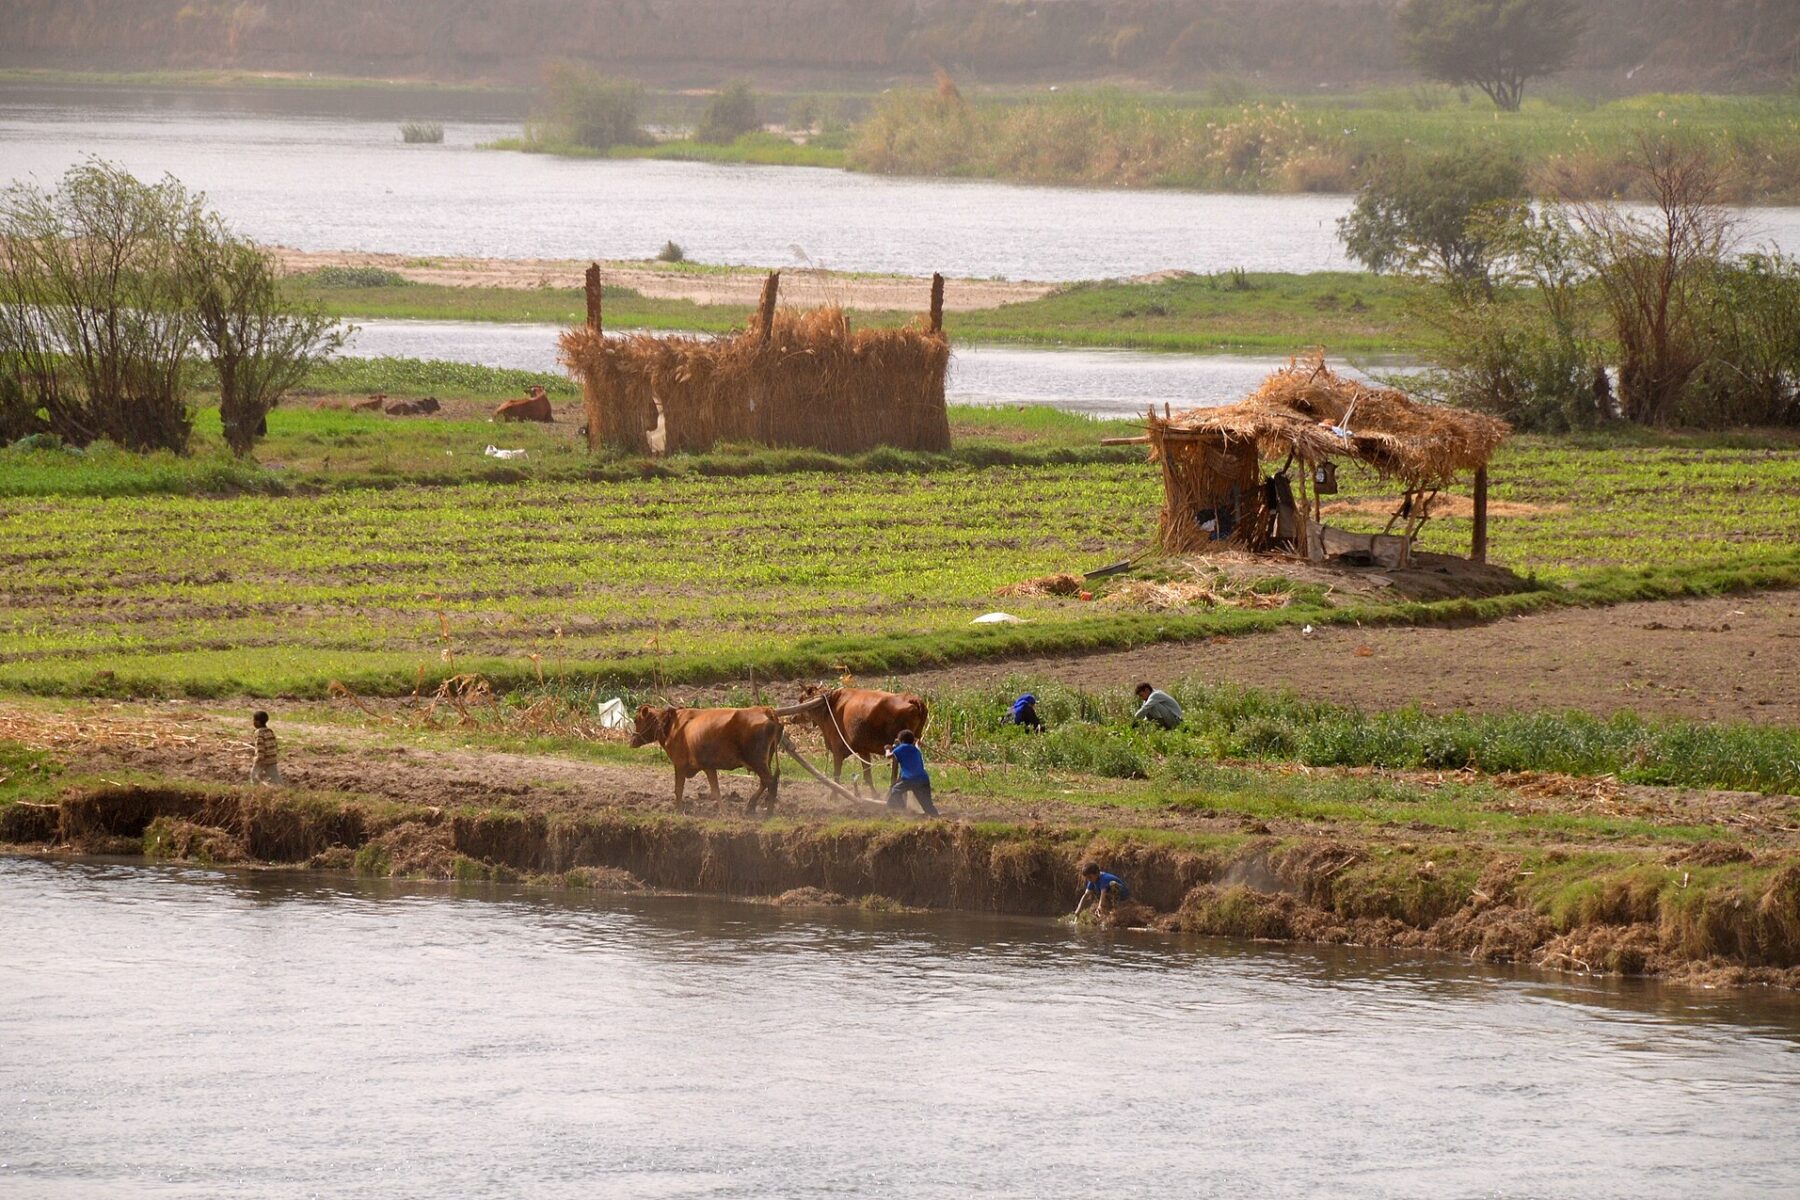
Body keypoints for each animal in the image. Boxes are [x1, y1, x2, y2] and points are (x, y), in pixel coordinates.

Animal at [630, 705, 782, 814]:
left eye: (636, 720)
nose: (631, 740)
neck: (671, 725)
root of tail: (765, 710)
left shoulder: (680, 764)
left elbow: (678, 789)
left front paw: (678, 811)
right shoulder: (708, 766)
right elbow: (715, 791)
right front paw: (724, 813)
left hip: (757, 760)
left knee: (771, 783)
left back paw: (768, 814)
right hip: (765, 760)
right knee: (765, 782)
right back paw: (750, 807)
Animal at [794, 685, 928, 798]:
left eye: (801, 699)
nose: (792, 717)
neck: (830, 706)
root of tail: (912, 699)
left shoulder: (837, 748)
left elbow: (837, 774)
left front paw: (834, 796)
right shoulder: (863, 750)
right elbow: (867, 776)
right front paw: (874, 795)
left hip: (899, 744)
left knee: (897, 770)